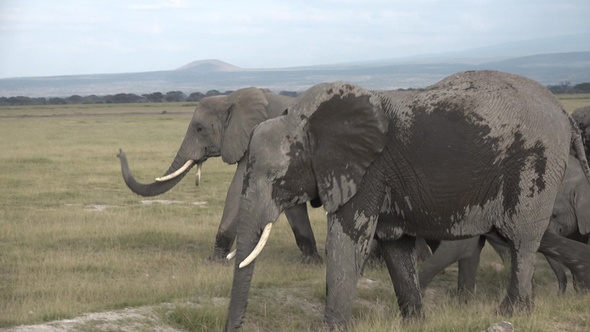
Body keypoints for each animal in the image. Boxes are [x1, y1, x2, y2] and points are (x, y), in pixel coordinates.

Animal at [116, 87, 324, 264]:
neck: (231, 99)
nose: (119, 152)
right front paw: (310, 262)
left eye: (200, 128)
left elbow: (238, 190)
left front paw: (213, 261)